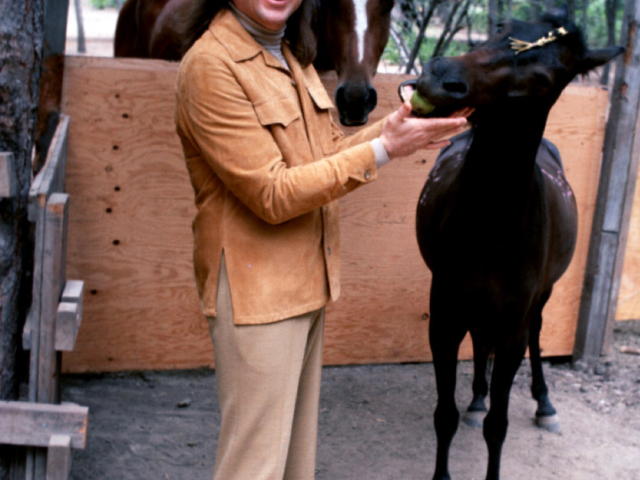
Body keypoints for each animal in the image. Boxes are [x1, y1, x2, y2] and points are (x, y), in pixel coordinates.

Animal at [404, 7, 620, 480]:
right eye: (500, 29)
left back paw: (544, 404)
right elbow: (444, 414)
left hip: (538, 299)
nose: (440, 76)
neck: (490, 226)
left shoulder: (513, 327)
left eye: (544, 77)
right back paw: (477, 395)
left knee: (536, 333)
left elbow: (497, 425)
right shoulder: (444, 314)